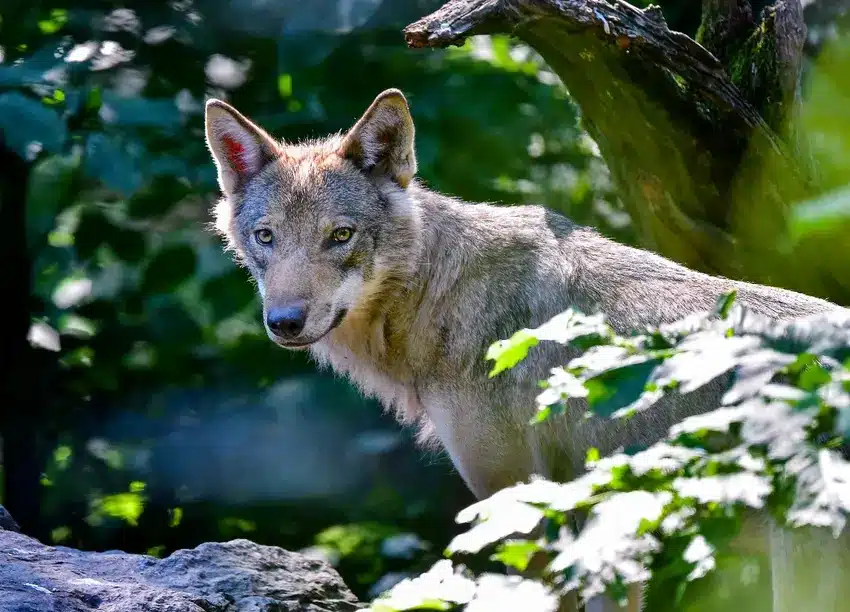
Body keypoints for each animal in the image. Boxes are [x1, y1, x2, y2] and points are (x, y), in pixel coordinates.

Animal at [204, 89, 849, 611]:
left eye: (341, 236)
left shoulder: (524, 517)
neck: (438, 292)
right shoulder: (605, 532)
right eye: (266, 237)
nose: (285, 322)